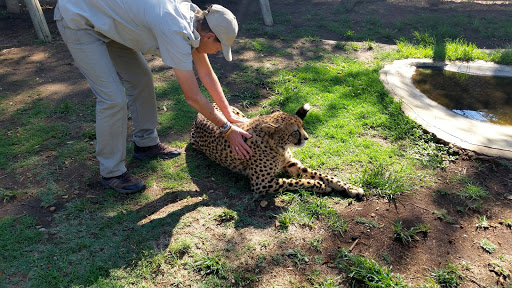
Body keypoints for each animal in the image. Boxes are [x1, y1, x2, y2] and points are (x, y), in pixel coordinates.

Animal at [191, 104, 364, 199]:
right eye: (295, 131)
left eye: (302, 126)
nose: (306, 138)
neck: (277, 145)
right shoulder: (260, 184)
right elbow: (293, 182)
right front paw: (319, 185)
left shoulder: (291, 164)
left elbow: (324, 175)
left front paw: (351, 188)